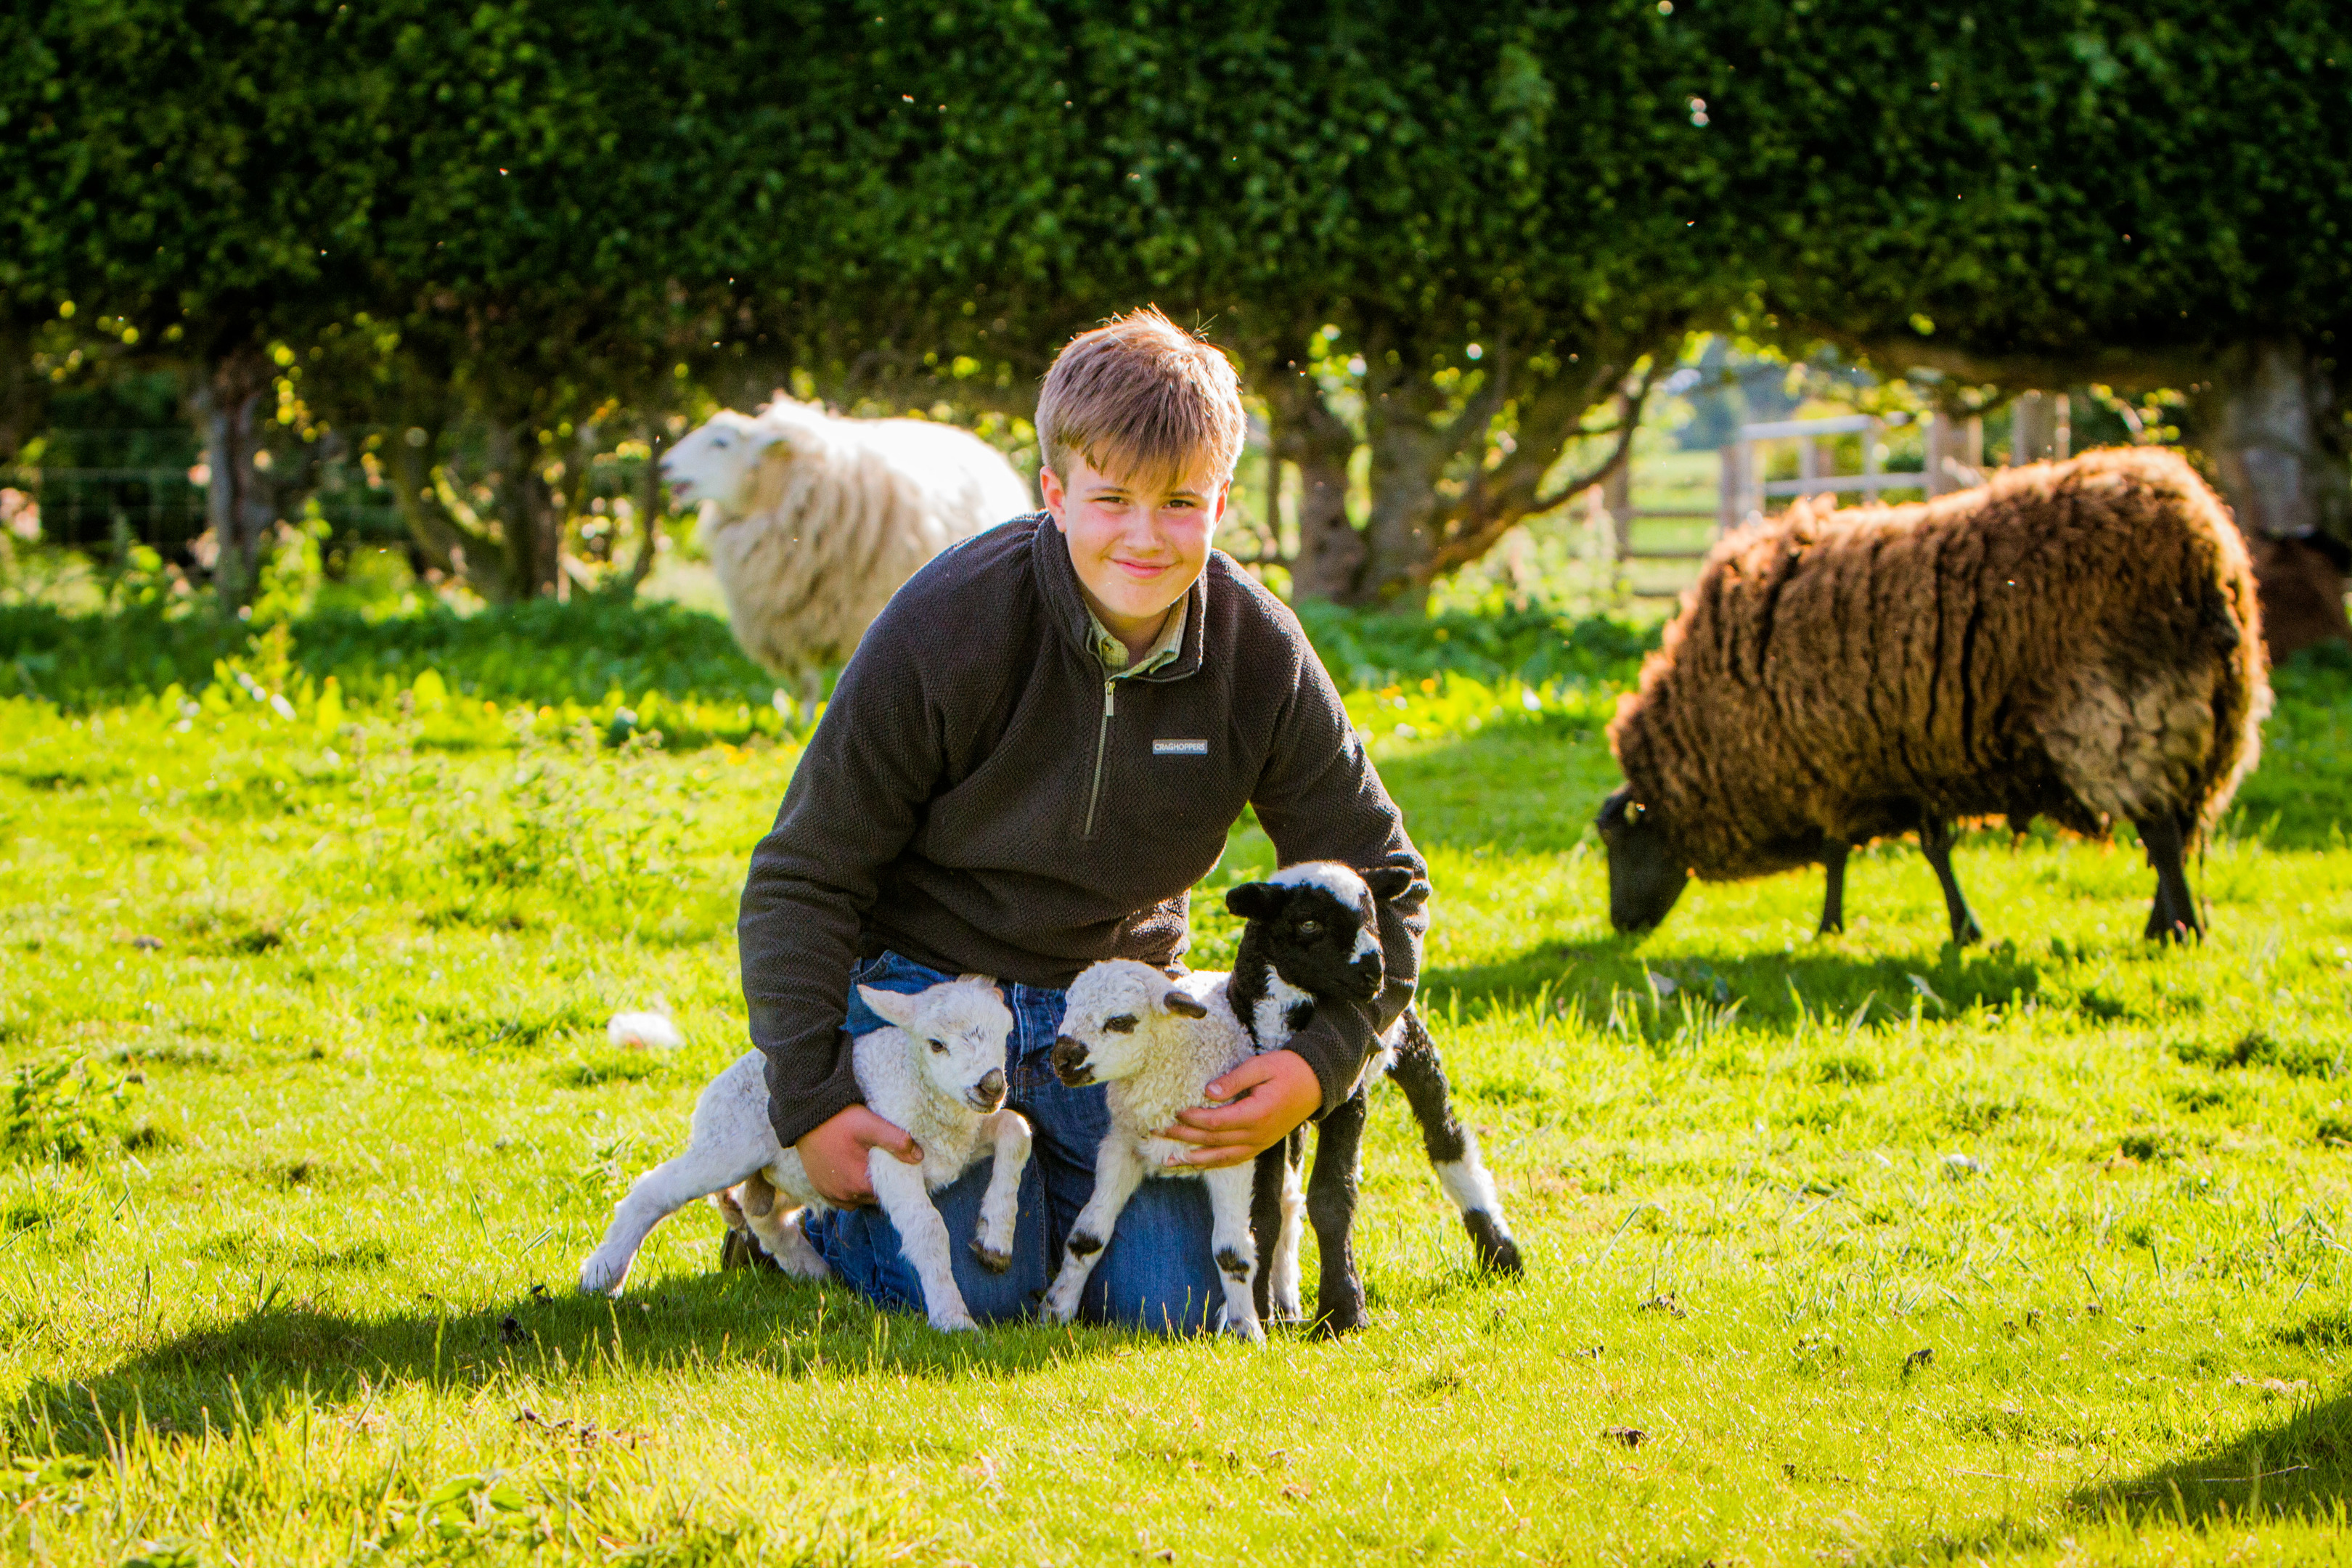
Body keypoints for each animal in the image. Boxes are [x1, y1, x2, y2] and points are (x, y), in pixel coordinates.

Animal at [571, 973, 1030, 1335]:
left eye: (1005, 1034)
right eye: (937, 1044)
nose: (991, 1085)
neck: (931, 1098)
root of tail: (714, 1087)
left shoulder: (961, 1141)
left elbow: (1017, 1130)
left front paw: (996, 1237)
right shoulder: (890, 1154)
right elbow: (929, 1228)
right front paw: (953, 1318)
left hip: (790, 1175)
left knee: (761, 1214)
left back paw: (811, 1270)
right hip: (731, 1145)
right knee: (656, 1190)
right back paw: (601, 1275)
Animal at [658, 395, 1034, 701]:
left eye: (720, 443)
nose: (664, 465)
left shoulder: (859, 618)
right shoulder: (791, 625)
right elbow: (808, 689)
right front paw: (799, 730)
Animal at [1044, 963, 1270, 1344]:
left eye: (1120, 1021)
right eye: (1068, 1004)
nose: (1062, 1060)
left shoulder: (1231, 1155)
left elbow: (1231, 1252)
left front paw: (1245, 1329)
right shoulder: (1122, 1145)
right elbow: (1087, 1236)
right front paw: (1055, 1310)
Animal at [1232, 865, 1524, 1335]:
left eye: (1373, 919)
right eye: (1308, 924)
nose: (1375, 971)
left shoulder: (1347, 1097)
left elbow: (1331, 1197)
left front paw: (1343, 1312)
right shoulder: (1264, 1111)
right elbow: (1264, 1209)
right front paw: (1260, 1313)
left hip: (1410, 1044)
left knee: (1448, 1141)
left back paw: (1501, 1254)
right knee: (1289, 1195)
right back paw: (1287, 1303)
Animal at [1590, 446, 2267, 950]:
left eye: (1619, 843)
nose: (1622, 925)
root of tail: (2209, 552)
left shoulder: (1838, 764)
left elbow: (1842, 851)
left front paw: (1830, 927)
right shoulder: (1911, 757)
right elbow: (1929, 849)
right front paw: (1960, 929)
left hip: (2126, 711)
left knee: (2162, 833)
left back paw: (2183, 929)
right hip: (2212, 718)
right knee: (2184, 827)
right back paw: (2164, 924)